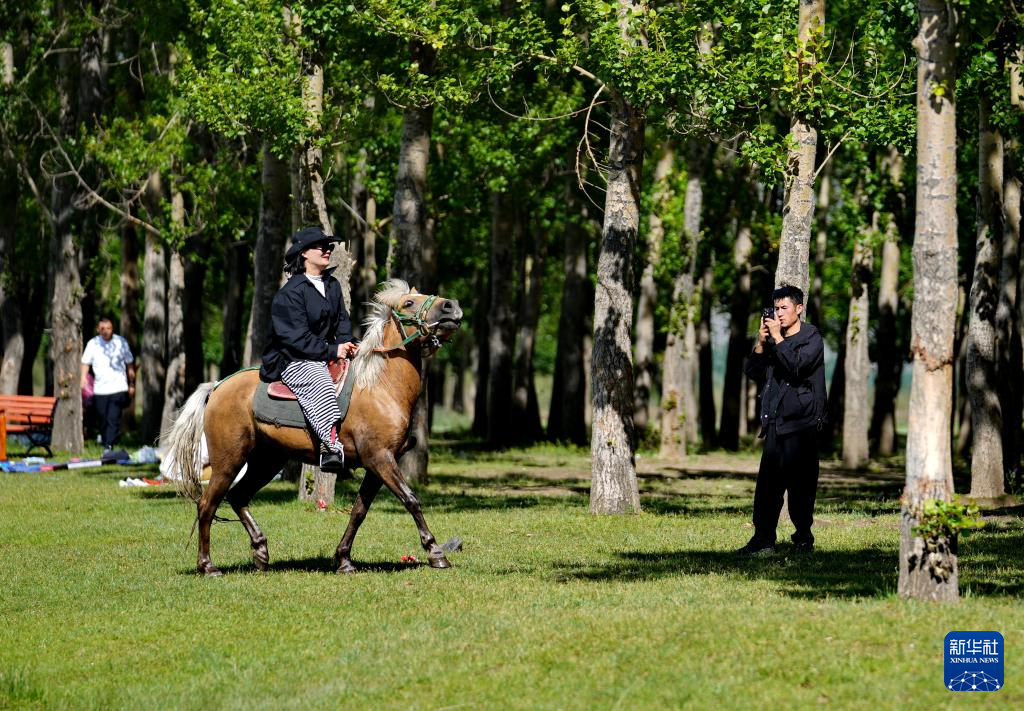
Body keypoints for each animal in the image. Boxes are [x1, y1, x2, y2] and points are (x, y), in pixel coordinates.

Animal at [163, 279, 463, 576]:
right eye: (409, 303)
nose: (452, 306)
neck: (379, 387)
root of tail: (216, 387)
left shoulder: (378, 465)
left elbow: (359, 511)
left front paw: (343, 559)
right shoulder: (380, 459)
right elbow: (411, 500)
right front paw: (436, 553)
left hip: (267, 461)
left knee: (238, 497)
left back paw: (260, 552)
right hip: (229, 461)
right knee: (207, 504)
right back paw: (208, 565)